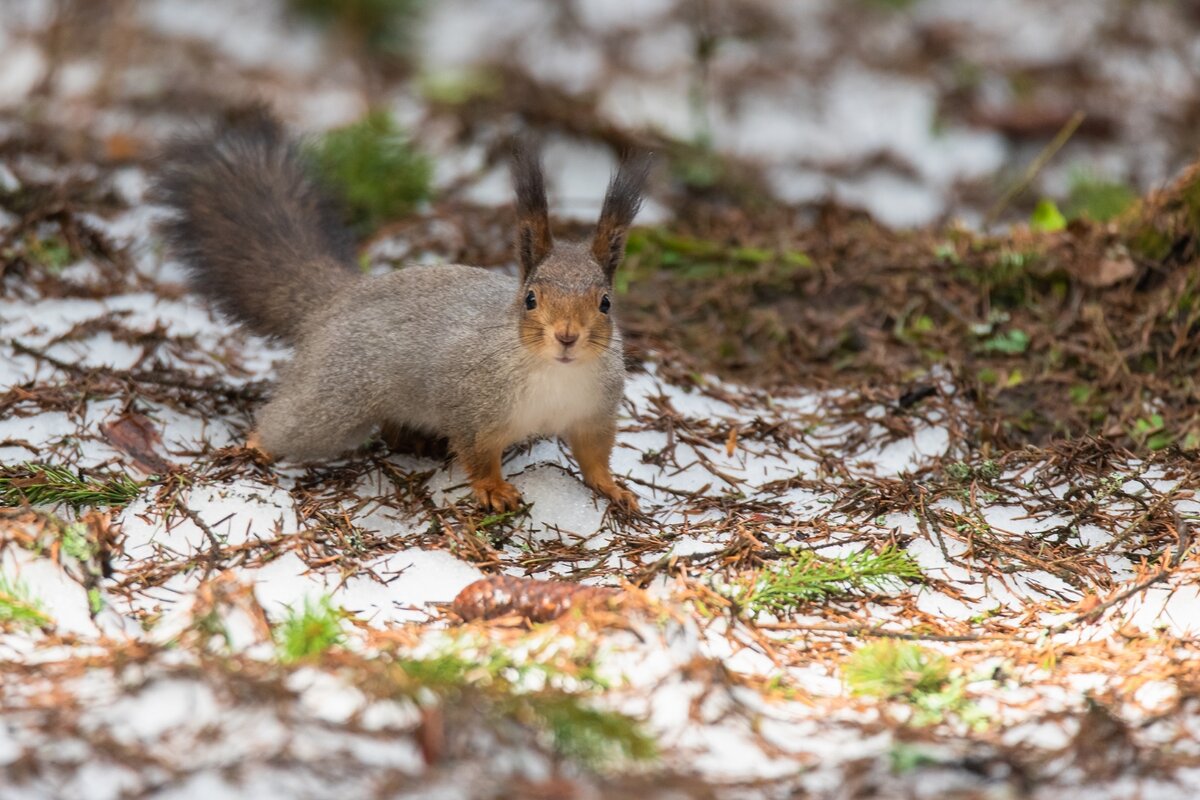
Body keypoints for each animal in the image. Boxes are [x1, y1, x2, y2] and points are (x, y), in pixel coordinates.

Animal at [158, 104, 652, 513]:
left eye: (606, 303)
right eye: (530, 299)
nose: (567, 336)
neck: (556, 374)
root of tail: (338, 298)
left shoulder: (594, 413)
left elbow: (594, 455)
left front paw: (612, 487)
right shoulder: (470, 404)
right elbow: (477, 453)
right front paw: (493, 489)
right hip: (334, 397)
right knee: (293, 423)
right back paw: (256, 446)